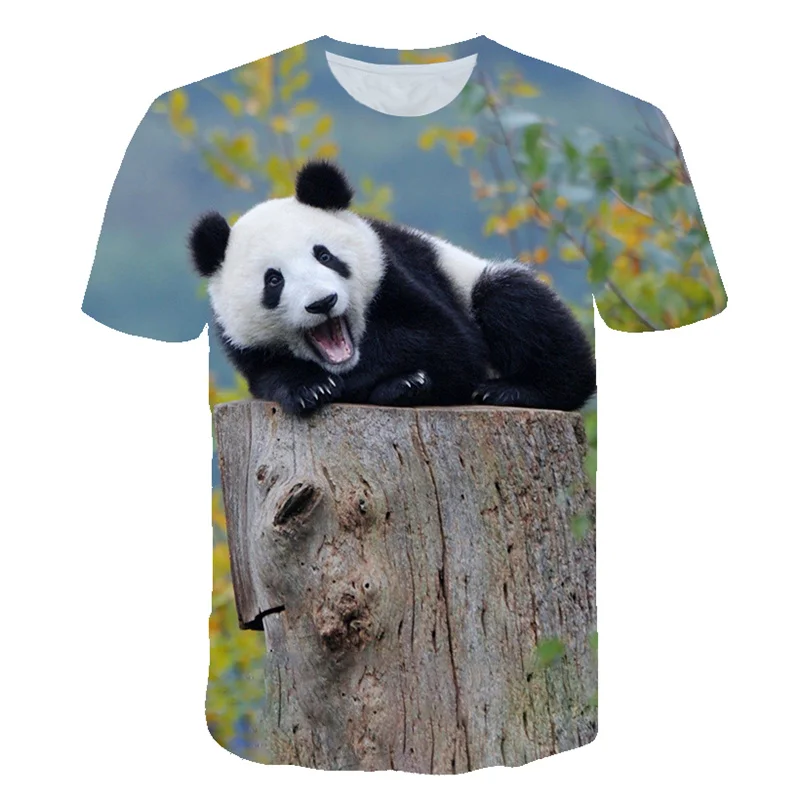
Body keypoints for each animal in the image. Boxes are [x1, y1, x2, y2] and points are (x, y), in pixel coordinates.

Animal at [189, 160, 596, 416]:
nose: (323, 302)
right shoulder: (243, 345)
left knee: (515, 304)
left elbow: (446, 342)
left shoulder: (397, 273)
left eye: (324, 255)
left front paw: (394, 380)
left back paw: (512, 389)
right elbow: (269, 376)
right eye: (274, 280)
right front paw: (310, 388)